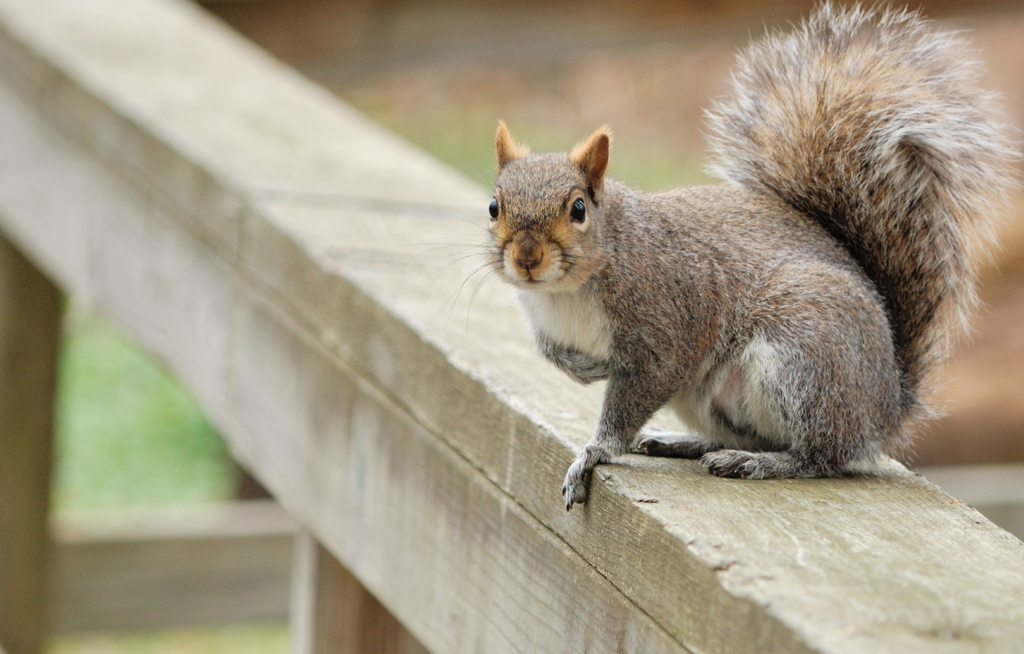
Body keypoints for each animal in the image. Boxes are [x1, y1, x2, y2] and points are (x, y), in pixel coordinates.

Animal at [485, 3, 1017, 511]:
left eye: (578, 209)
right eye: (494, 206)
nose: (527, 258)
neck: (566, 292)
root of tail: (885, 406)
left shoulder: (663, 322)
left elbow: (636, 393)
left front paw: (594, 452)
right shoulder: (545, 322)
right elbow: (550, 353)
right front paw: (585, 370)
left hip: (805, 357)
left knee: (824, 456)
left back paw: (763, 463)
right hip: (716, 397)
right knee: (759, 435)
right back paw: (687, 443)